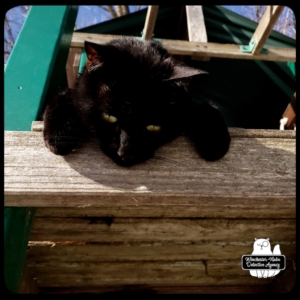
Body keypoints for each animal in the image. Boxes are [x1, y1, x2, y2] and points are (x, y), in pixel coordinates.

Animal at [42, 37, 230, 166]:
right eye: (109, 117)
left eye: (153, 126)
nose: (126, 154)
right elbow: (63, 97)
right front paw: (58, 137)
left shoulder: (189, 105)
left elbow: (206, 107)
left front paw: (215, 142)